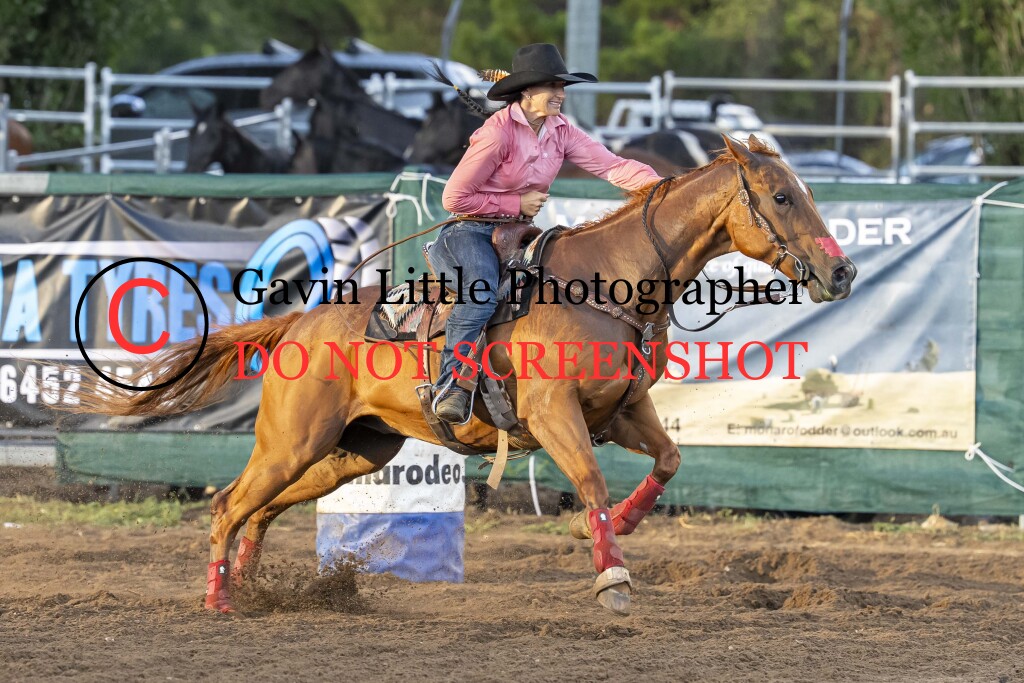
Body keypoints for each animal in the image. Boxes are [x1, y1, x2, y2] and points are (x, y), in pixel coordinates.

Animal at [66, 135, 856, 617]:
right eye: (782, 197)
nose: (842, 272)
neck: (610, 283)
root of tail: (297, 325)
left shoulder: (624, 411)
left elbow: (668, 460)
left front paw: (610, 531)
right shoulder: (553, 413)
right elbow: (592, 481)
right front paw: (612, 577)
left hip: (353, 450)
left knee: (260, 510)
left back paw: (256, 590)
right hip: (293, 440)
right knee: (230, 503)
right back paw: (220, 601)